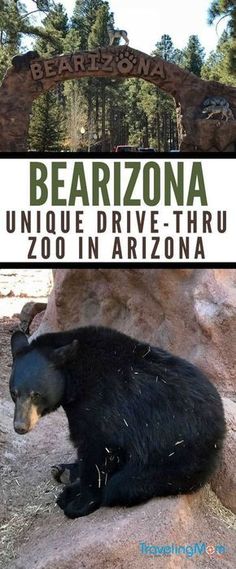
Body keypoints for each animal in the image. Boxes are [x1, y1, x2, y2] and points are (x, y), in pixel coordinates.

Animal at [9, 326, 226, 516]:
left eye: (36, 394)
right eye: (14, 393)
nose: (20, 427)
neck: (75, 372)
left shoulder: (102, 401)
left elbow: (97, 448)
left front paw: (78, 504)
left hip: (175, 459)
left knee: (122, 484)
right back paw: (65, 471)